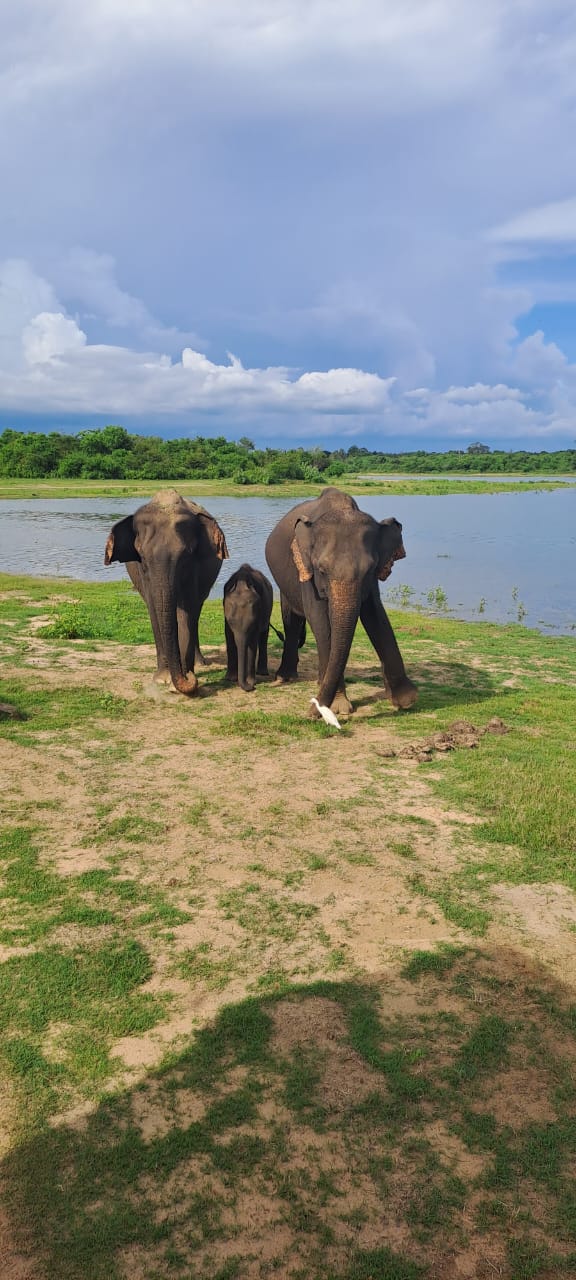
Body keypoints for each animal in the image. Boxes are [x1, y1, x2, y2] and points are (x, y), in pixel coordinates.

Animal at [104, 488, 228, 696]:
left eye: (186, 555)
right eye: (142, 557)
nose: (188, 677)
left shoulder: (195, 566)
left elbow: (188, 609)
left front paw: (183, 676)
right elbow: (153, 608)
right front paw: (161, 679)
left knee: (196, 609)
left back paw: (199, 663)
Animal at [264, 487, 417, 717]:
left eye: (370, 569)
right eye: (321, 570)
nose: (311, 712)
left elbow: (375, 614)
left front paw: (406, 700)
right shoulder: (307, 572)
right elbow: (319, 620)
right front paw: (338, 708)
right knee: (292, 619)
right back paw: (285, 677)